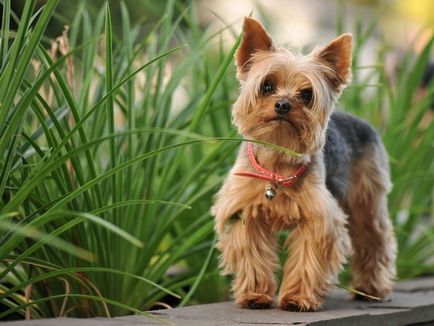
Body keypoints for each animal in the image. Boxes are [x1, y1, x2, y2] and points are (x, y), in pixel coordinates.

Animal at [212, 17, 398, 310]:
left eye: (307, 94)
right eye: (267, 86)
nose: (283, 104)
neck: (277, 159)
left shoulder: (318, 218)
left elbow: (307, 257)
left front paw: (297, 298)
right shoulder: (245, 212)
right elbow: (252, 253)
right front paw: (254, 295)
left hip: (366, 198)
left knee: (374, 238)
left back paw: (370, 289)